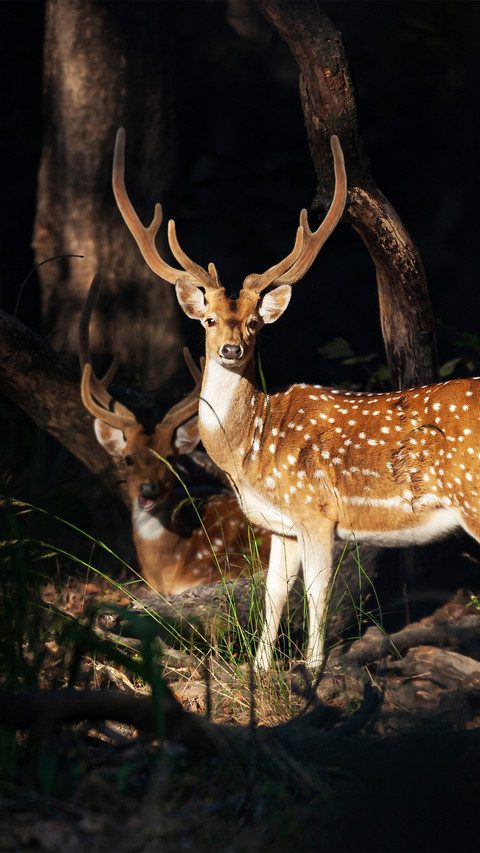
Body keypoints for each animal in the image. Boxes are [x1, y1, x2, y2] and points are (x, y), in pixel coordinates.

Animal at [112, 126, 480, 670]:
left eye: (254, 323)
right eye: (209, 320)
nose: (230, 349)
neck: (251, 452)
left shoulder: (317, 512)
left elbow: (316, 599)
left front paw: (311, 674)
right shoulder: (282, 527)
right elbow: (273, 599)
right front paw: (262, 673)